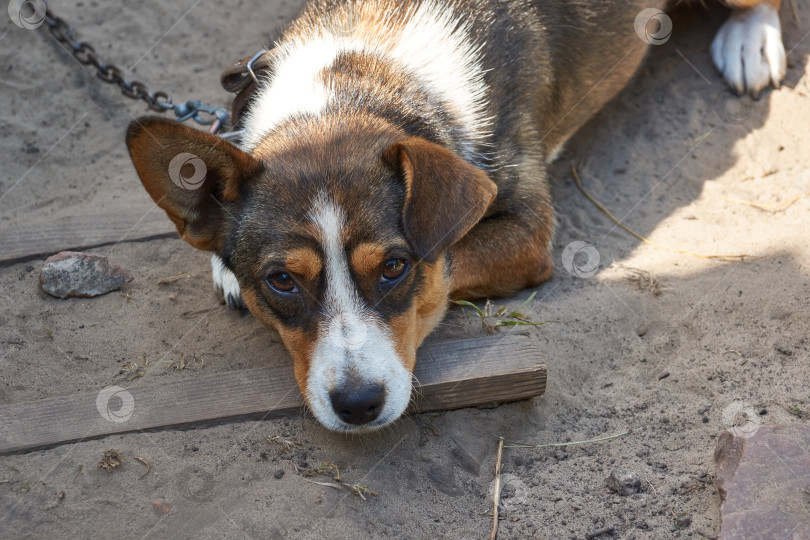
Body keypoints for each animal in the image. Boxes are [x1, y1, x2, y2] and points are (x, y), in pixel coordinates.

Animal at [126, 0, 784, 430]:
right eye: (282, 281)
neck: (358, 83)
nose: (359, 405)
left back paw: (751, 40)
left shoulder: (527, 229)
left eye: (395, 267)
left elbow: (444, 267)